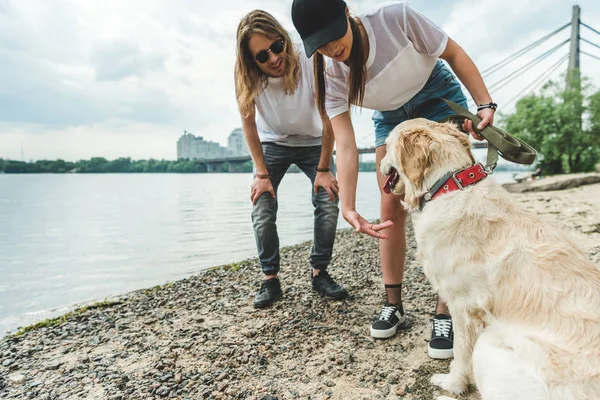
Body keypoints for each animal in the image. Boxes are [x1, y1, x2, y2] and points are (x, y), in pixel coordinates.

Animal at [380, 117, 600, 398]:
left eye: (387, 145)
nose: (379, 164)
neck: (450, 186)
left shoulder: (463, 305)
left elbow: (461, 353)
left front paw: (452, 382)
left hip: (490, 342)